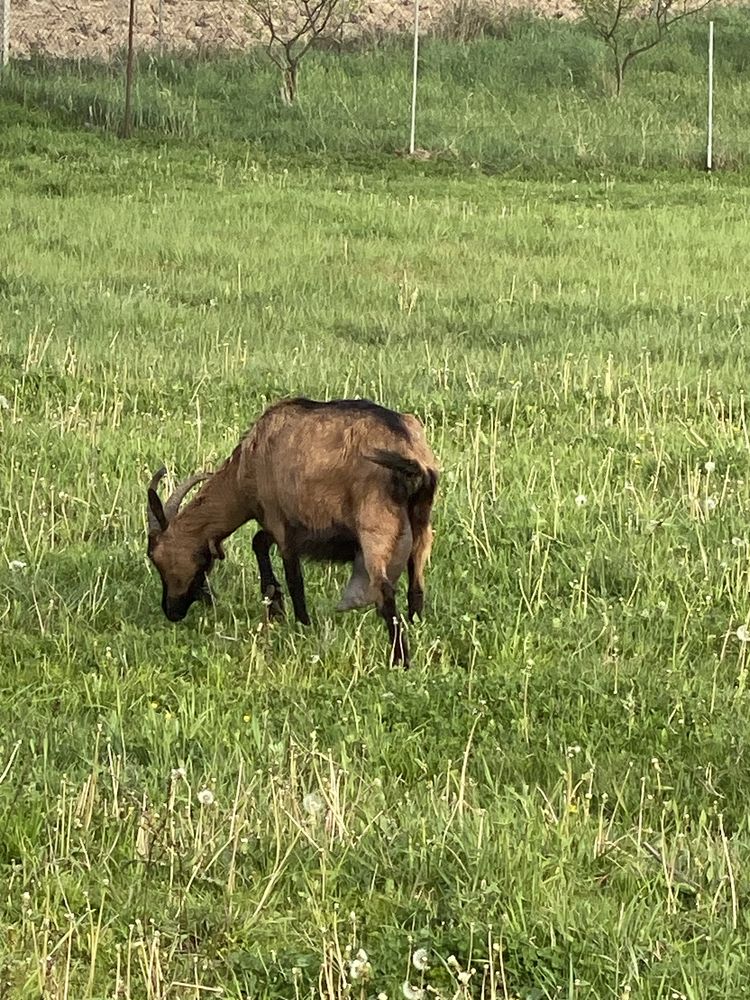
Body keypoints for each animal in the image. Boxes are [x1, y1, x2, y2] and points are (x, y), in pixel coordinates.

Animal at [146, 396, 438, 664]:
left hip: (376, 526)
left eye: (158, 559)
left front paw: (301, 622)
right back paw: (417, 624)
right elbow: (259, 543)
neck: (247, 464)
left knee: (385, 590)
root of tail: (407, 450)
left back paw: (400, 660)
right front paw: (275, 603)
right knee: (416, 583)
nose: (171, 610)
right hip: (422, 524)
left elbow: (293, 575)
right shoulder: (285, 524)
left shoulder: (280, 522)